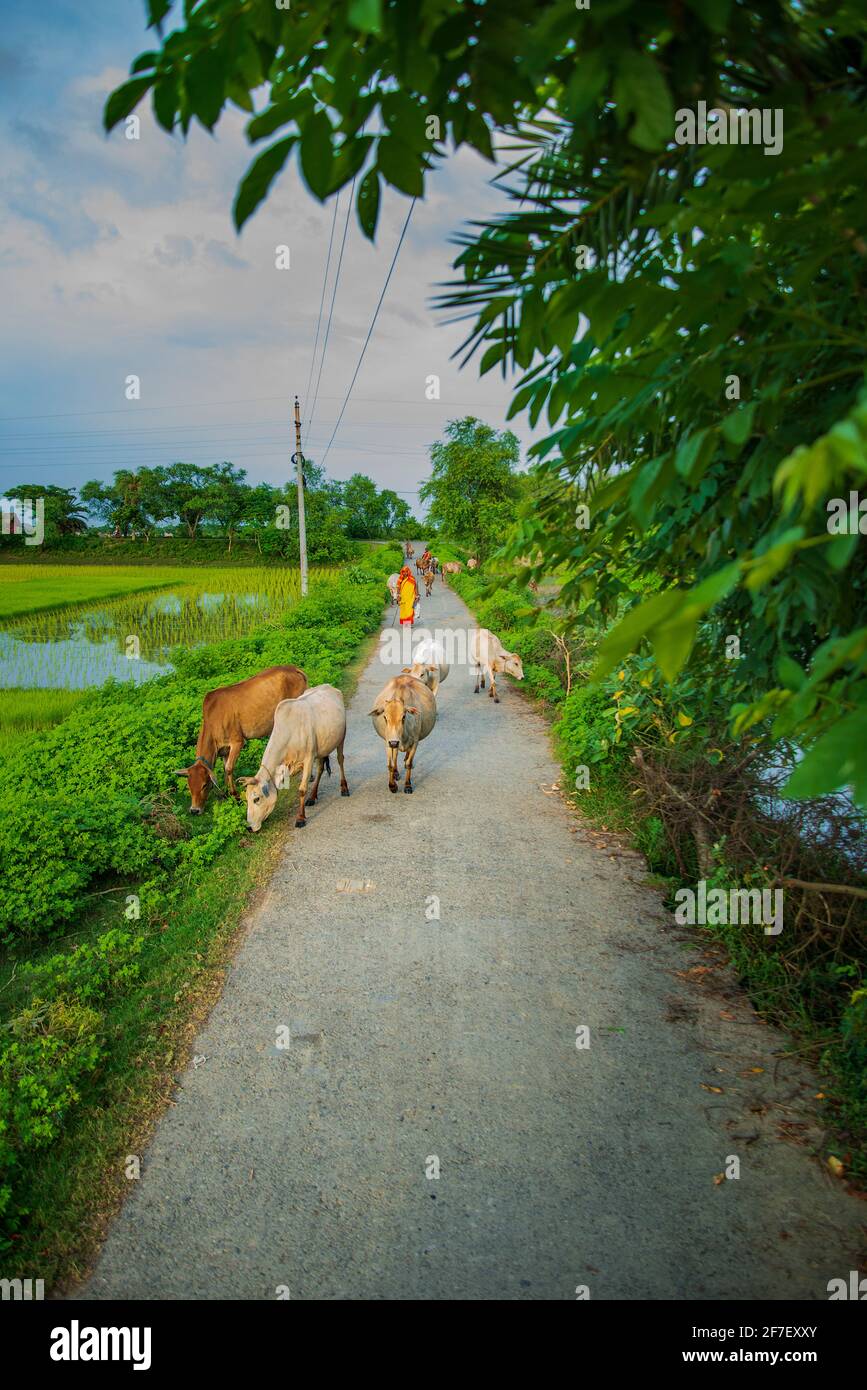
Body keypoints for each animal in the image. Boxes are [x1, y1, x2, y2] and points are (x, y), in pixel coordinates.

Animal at [170, 664, 307, 811]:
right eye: (189, 786)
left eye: (204, 785)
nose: (195, 810)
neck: (212, 721)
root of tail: (293, 668)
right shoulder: (224, 750)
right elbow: (225, 769)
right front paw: (226, 794)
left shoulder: (237, 742)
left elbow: (229, 768)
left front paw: (235, 796)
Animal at [238, 681, 347, 828]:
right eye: (246, 799)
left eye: (256, 798)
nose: (249, 827)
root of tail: (329, 686)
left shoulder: (309, 757)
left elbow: (302, 789)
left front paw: (300, 818)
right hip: (322, 748)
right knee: (320, 768)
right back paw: (312, 797)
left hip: (341, 738)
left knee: (340, 760)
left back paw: (344, 788)